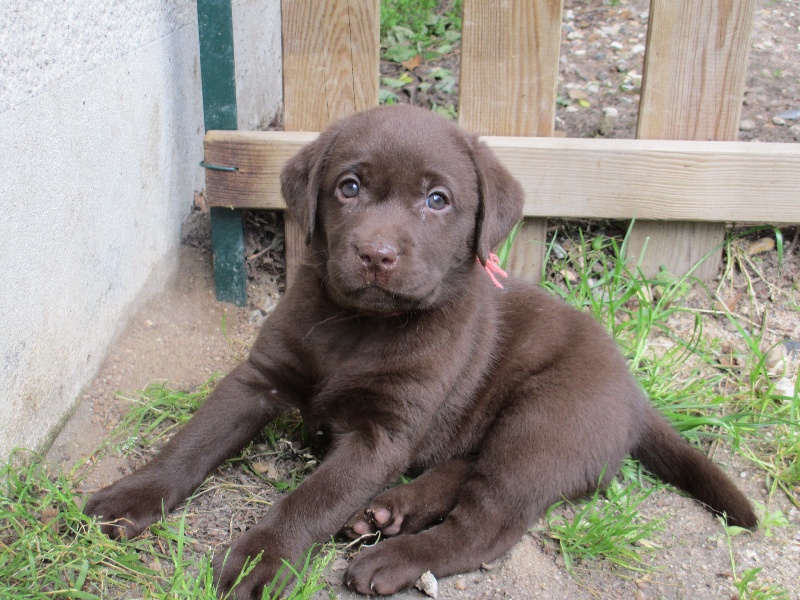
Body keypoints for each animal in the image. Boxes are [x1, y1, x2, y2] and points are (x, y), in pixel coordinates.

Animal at [85, 104, 757, 598]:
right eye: (349, 187)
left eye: (438, 199)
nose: (376, 254)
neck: (359, 327)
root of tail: (637, 397)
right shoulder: (260, 378)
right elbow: (192, 441)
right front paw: (129, 497)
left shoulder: (383, 432)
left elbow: (313, 497)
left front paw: (260, 558)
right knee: (463, 471)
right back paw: (388, 512)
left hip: (545, 424)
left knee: (486, 525)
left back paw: (392, 557)